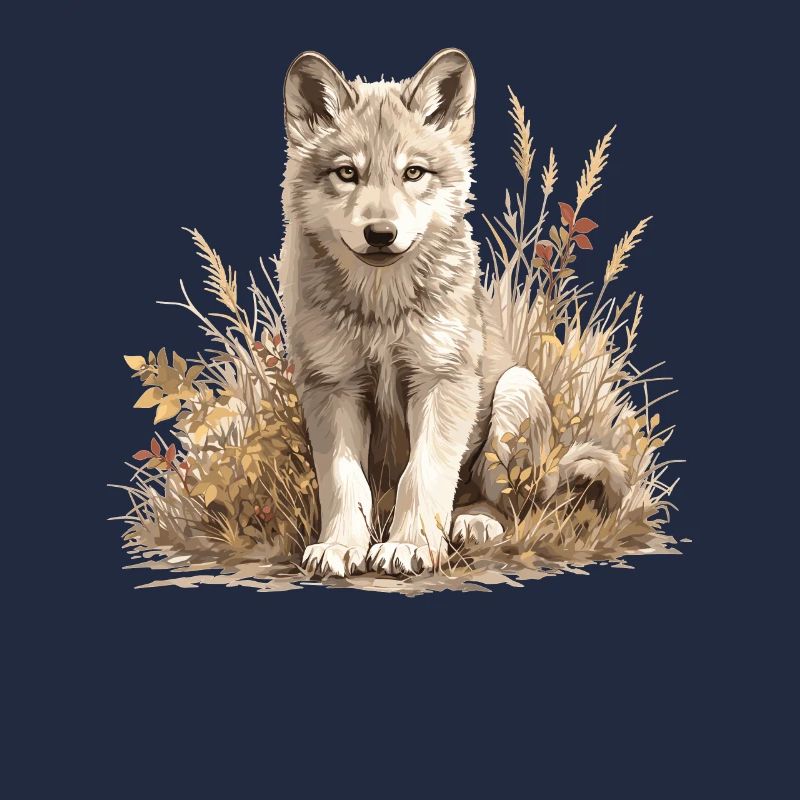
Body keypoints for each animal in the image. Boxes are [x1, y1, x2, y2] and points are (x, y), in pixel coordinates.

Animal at [279, 48, 627, 577]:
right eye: (347, 173)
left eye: (413, 173)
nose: (380, 234)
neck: (382, 309)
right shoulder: (332, 386)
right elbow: (343, 482)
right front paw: (340, 546)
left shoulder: (442, 380)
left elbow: (423, 474)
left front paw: (409, 546)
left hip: (515, 392)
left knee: (509, 507)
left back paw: (474, 522)